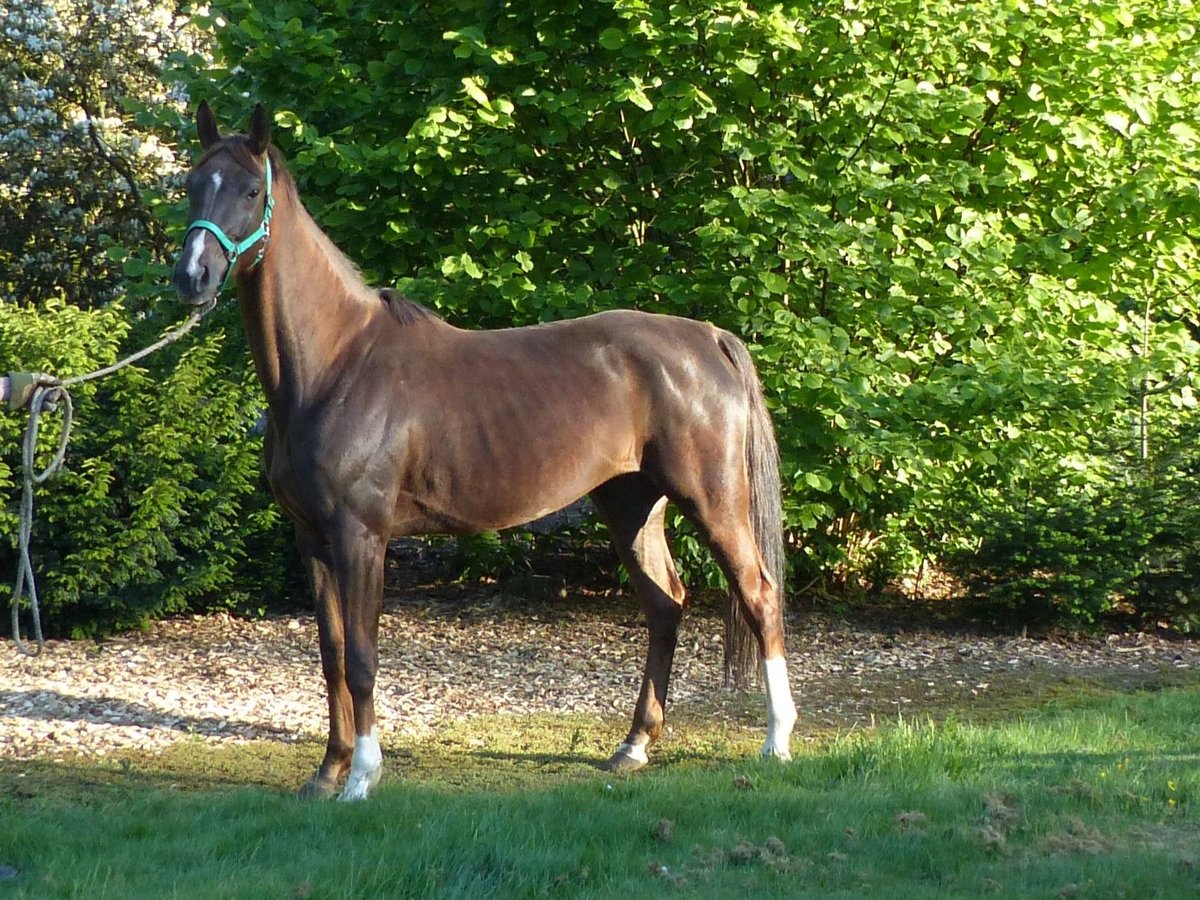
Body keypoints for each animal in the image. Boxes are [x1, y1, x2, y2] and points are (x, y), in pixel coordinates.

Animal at [164, 102, 792, 801]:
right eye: (193, 185)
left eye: (251, 191)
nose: (192, 277)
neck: (335, 366)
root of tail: (708, 338)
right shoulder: (312, 538)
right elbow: (331, 657)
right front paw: (326, 773)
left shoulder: (361, 536)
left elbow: (362, 658)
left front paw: (361, 778)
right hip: (632, 505)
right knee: (665, 606)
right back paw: (633, 747)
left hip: (713, 500)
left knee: (760, 596)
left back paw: (777, 742)